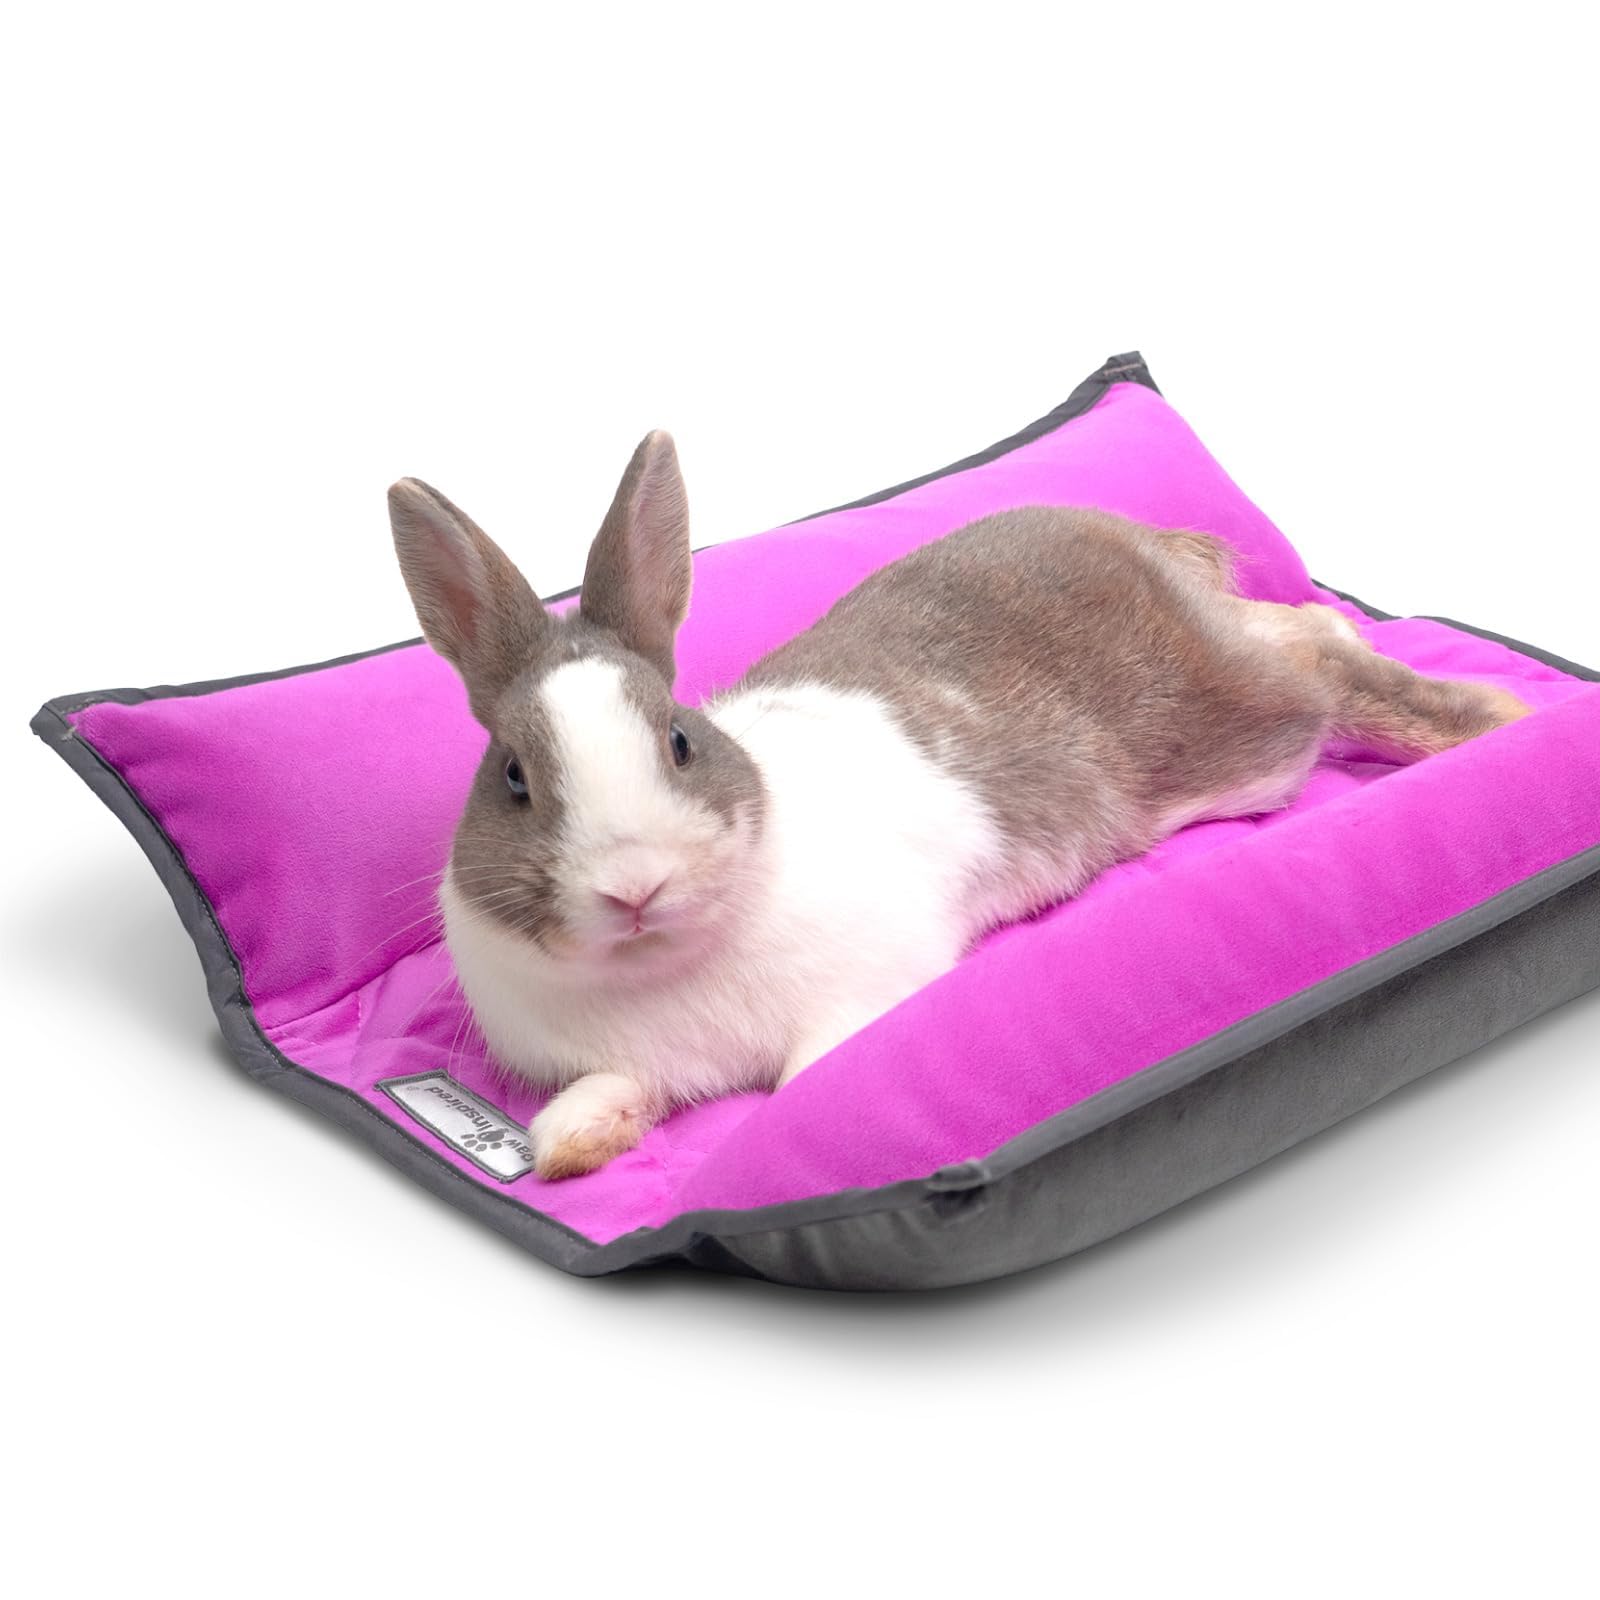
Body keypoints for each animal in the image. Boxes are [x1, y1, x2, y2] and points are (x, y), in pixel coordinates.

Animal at [388, 433, 1530, 1179]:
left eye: (677, 739)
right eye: (513, 777)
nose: (634, 885)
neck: (661, 965)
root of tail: (1143, 544)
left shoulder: (867, 992)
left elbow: (804, 1085)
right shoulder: (623, 1062)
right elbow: (583, 1109)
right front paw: (573, 1148)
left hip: (1252, 738)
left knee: (1324, 661)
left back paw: (1494, 717)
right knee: (1308, 626)